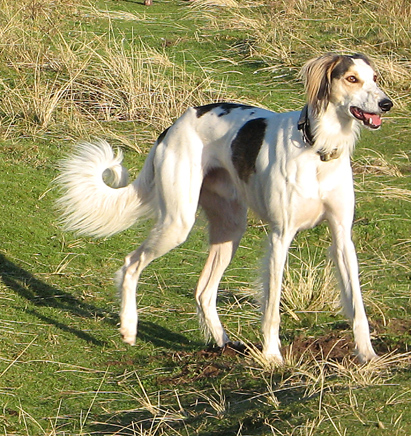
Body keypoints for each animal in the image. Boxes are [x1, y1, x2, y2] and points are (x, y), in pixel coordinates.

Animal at [56, 52, 394, 362]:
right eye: (351, 79)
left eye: (375, 78)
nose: (386, 104)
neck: (318, 149)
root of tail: (174, 125)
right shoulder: (280, 236)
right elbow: (272, 307)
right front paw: (272, 357)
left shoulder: (342, 237)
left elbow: (357, 306)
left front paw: (368, 357)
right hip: (178, 222)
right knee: (131, 263)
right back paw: (129, 326)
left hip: (230, 229)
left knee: (203, 291)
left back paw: (223, 344)